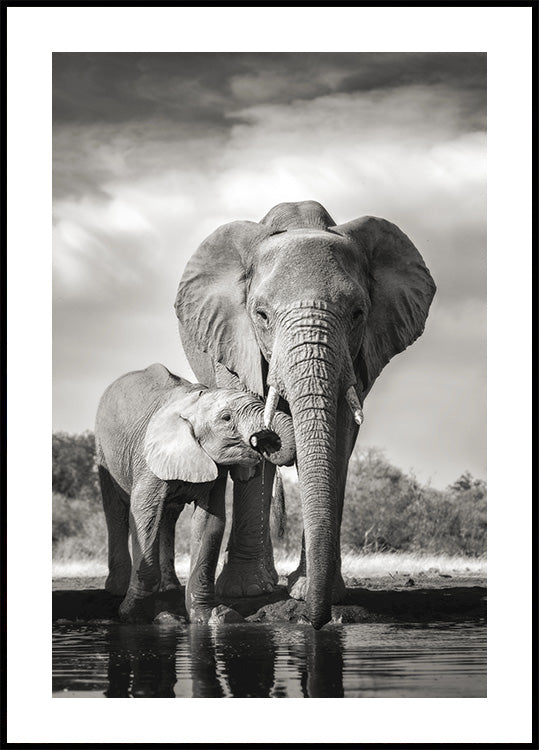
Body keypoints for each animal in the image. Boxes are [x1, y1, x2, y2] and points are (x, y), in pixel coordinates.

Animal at [95, 363, 295, 623]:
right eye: (226, 418)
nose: (264, 441)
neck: (194, 402)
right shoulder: (148, 456)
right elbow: (145, 515)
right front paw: (133, 614)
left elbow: (209, 522)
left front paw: (210, 618)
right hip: (103, 449)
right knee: (115, 512)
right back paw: (117, 589)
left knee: (169, 516)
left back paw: (169, 587)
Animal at [175, 200, 436, 630]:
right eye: (262, 315)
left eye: (357, 313)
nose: (315, 622)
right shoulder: (233, 338)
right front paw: (248, 593)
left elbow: (340, 439)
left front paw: (318, 591)